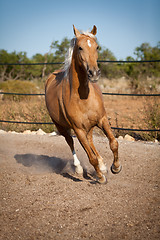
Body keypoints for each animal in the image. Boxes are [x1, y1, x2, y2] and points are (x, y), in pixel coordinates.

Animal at [45, 25, 121, 184]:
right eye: (80, 47)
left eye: (97, 47)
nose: (94, 73)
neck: (83, 97)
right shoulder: (78, 129)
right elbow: (90, 157)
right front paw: (100, 177)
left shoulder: (102, 120)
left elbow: (113, 143)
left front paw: (115, 167)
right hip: (61, 126)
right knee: (70, 142)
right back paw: (79, 168)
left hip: (89, 126)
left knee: (90, 141)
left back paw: (103, 165)